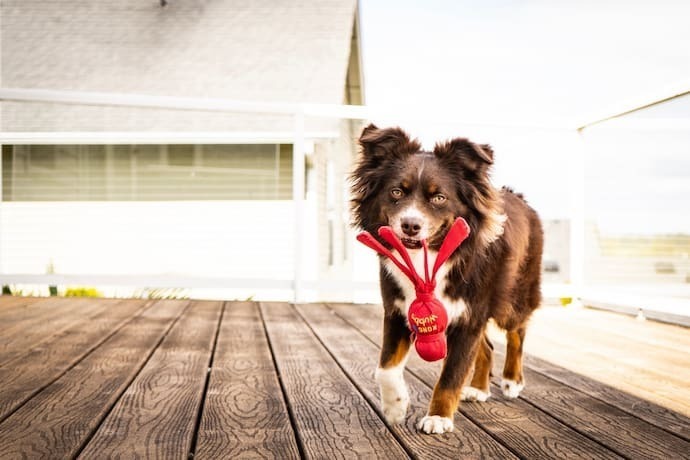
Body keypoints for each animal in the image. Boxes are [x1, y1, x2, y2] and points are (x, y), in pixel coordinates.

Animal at [350, 125, 544, 434]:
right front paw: (395, 406)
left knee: (517, 332)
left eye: (439, 197)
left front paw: (438, 417)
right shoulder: (397, 310)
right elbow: (385, 368)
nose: (411, 225)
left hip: (512, 297)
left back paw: (512, 380)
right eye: (396, 192)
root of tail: (519, 197)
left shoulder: (469, 316)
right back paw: (478, 389)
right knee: (487, 347)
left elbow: (451, 375)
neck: (428, 257)